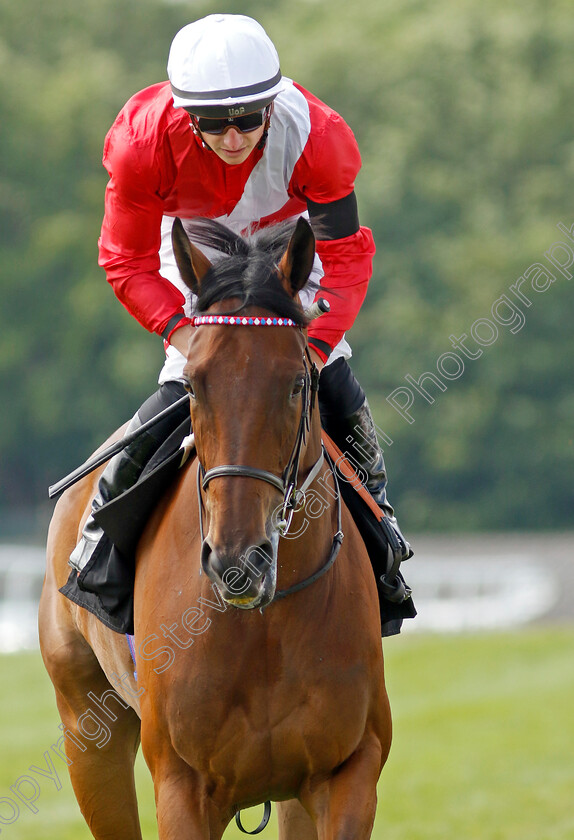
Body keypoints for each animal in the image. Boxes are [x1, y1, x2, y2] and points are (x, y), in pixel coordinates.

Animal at [38, 218, 394, 840]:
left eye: (297, 384)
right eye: (195, 386)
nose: (237, 559)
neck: (264, 624)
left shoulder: (348, 772)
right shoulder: (183, 785)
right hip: (85, 728)